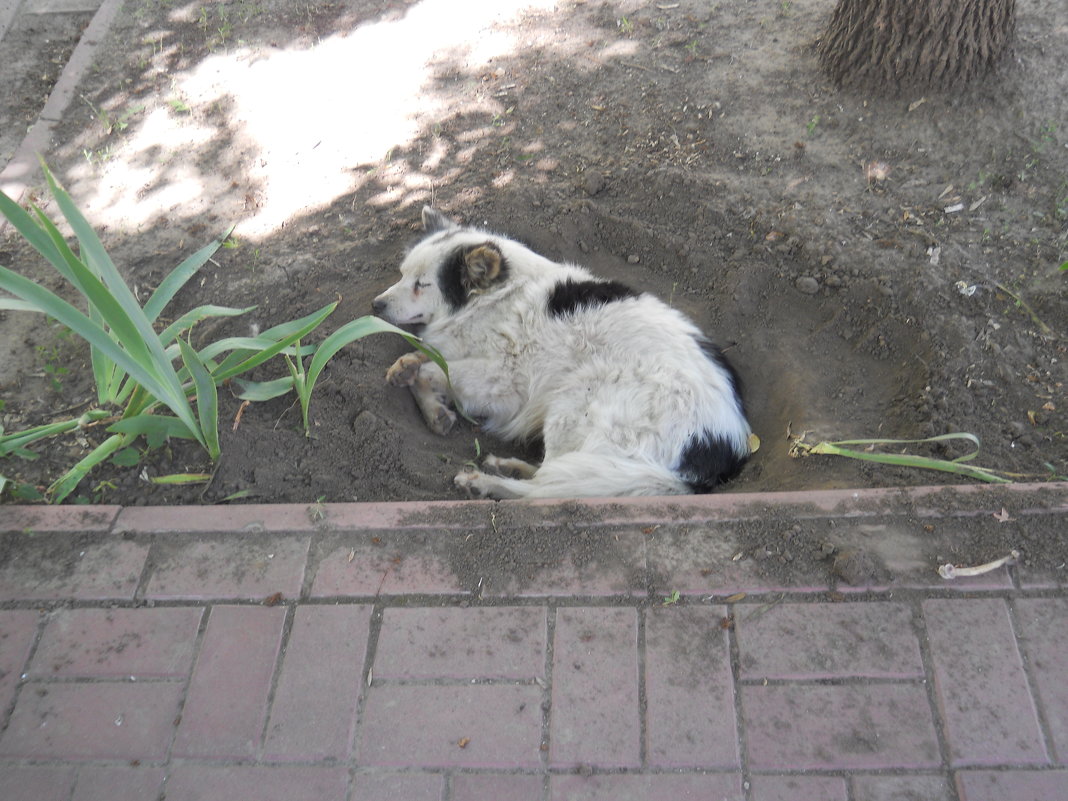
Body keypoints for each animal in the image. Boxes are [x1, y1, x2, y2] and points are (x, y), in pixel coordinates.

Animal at [373, 205, 751, 501]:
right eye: (402, 275)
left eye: (422, 285)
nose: (376, 305)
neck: (497, 296)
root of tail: (719, 449)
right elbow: (425, 361)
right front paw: (416, 382)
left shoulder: (504, 383)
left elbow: (434, 371)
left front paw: (431, 404)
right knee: (552, 474)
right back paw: (507, 468)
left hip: (575, 401)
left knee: (547, 487)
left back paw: (487, 483)